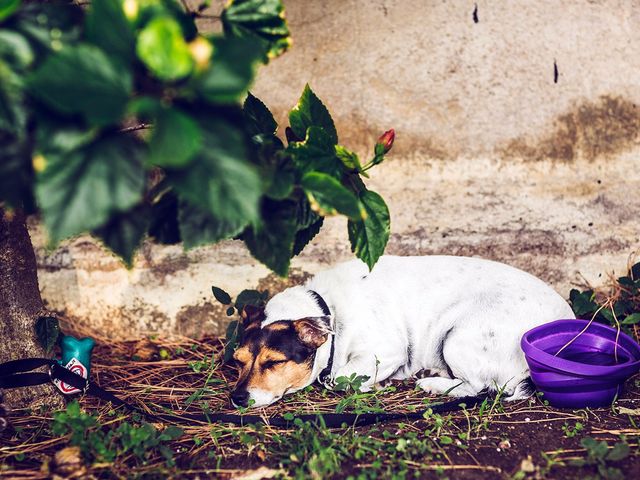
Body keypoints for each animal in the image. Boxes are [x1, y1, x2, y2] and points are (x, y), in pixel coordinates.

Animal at [230, 256, 576, 406]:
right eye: (237, 360)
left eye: (274, 362)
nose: (236, 398)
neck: (329, 308)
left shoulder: (386, 350)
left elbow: (339, 377)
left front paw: (374, 384)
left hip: (457, 336)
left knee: (481, 387)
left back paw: (432, 384)